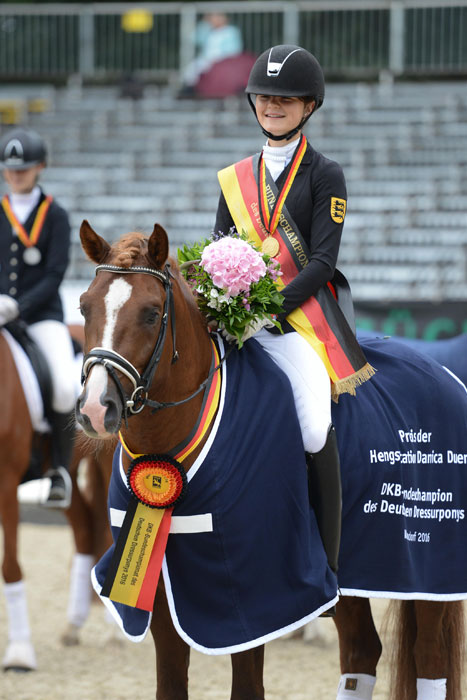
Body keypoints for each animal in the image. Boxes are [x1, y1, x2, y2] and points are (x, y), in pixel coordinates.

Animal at [76, 220, 464, 700]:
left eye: (150, 313)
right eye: (84, 306)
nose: (96, 409)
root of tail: (443, 372)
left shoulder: (256, 596)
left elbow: (247, 686)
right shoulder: (158, 594)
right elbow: (170, 684)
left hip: (430, 568)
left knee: (428, 656)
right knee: (361, 650)